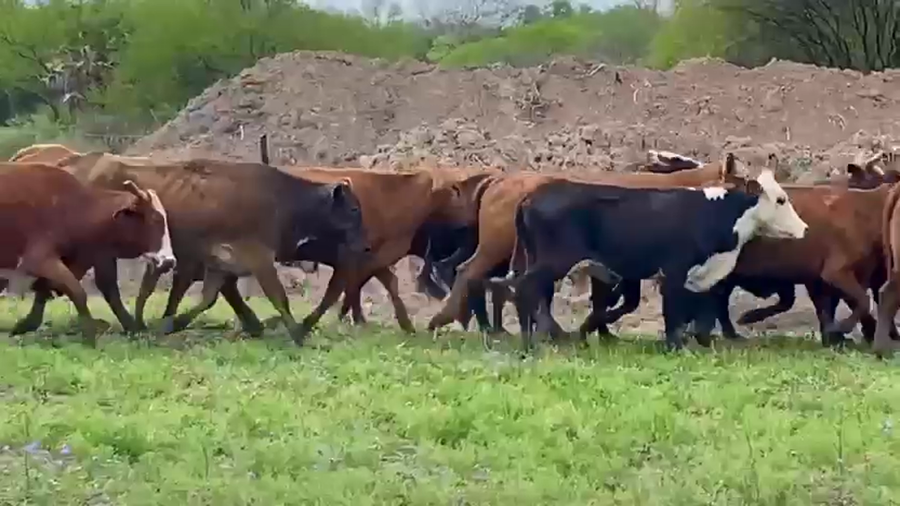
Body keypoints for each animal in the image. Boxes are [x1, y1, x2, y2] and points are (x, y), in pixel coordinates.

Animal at [0, 163, 174, 345]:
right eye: (155, 219)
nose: (169, 261)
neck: (71, 208)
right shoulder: (38, 260)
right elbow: (77, 292)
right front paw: (90, 334)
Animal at [44, 152, 370, 345]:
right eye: (354, 209)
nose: (366, 245)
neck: (281, 201)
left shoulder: (220, 262)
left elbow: (209, 298)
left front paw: (173, 322)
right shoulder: (258, 257)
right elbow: (278, 297)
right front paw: (297, 333)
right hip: (100, 253)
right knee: (104, 284)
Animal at [488, 164, 808, 351]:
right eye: (781, 199)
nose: (804, 228)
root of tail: (533, 195)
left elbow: (699, 313)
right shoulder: (674, 272)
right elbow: (674, 313)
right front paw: (674, 346)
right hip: (554, 261)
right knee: (526, 288)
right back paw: (536, 343)